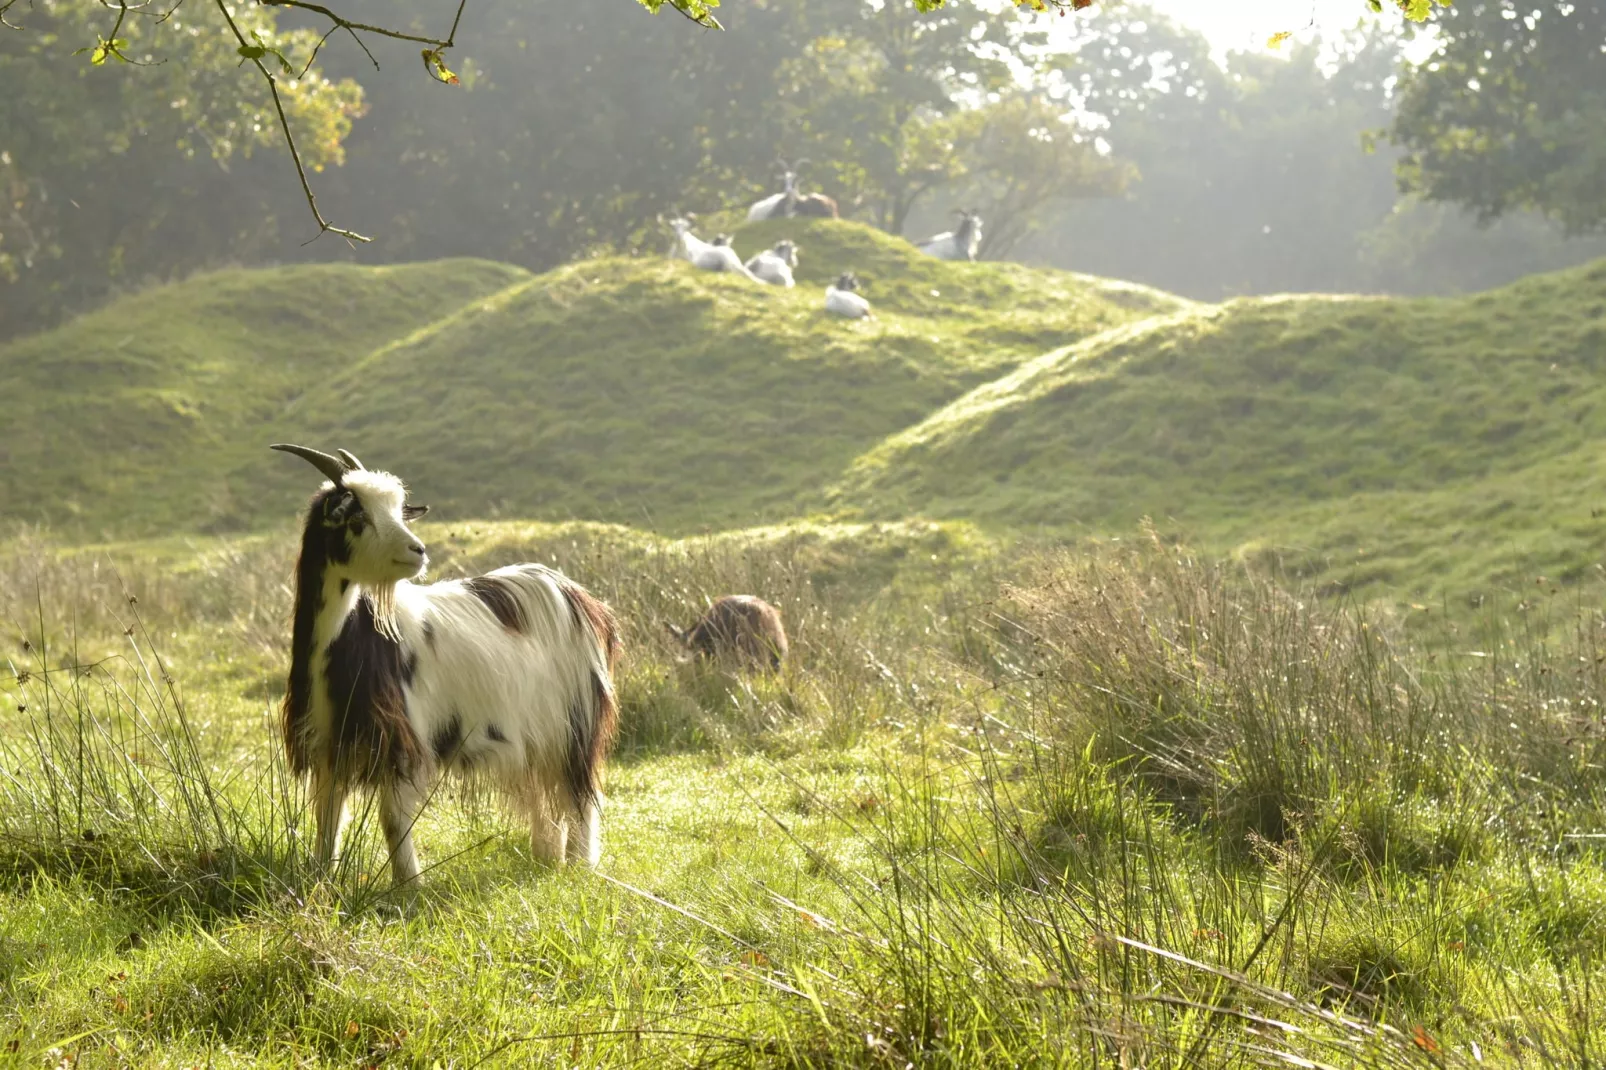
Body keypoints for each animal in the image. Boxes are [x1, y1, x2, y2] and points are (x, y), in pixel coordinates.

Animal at [269, 440, 619, 880]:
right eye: (356, 517)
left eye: (397, 510)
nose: (417, 550)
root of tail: (575, 595)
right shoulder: (328, 743)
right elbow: (327, 816)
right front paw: (321, 878)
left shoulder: (402, 738)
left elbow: (391, 818)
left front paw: (409, 885)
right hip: (534, 734)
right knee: (542, 789)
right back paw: (546, 855)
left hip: (575, 722)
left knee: (580, 792)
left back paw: (578, 864)